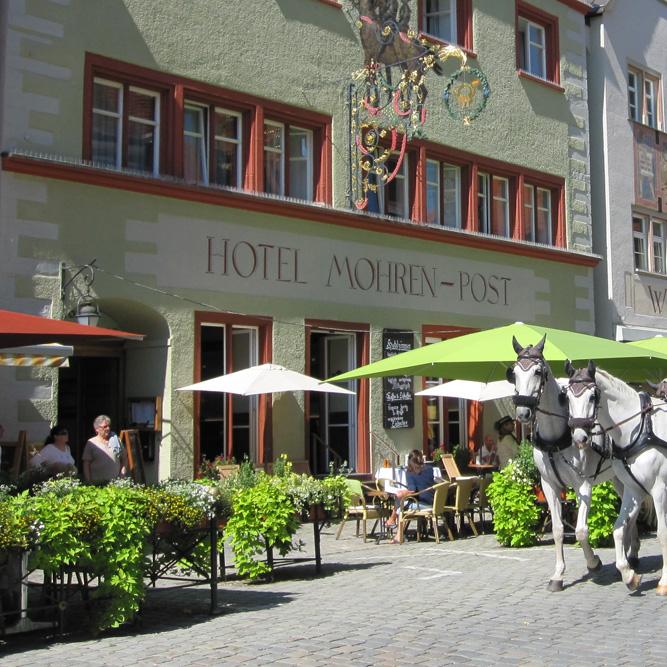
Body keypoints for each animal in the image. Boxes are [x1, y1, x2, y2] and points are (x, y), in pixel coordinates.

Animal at [508, 336, 624, 592]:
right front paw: (558, 575)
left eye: (538, 371)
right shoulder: (549, 485)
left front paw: (593, 563)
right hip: (618, 479)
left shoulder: (584, 486)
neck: (557, 437)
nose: (523, 412)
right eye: (514, 372)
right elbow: (558, 529)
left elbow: (580, 531)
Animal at [564, 362, 667, 596]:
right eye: (567, 397)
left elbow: (662, 534)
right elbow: (619, 529)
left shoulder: (659, 490)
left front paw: (664, 582)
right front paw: (629, 575)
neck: (638, 429)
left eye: (592, 396)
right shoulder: (633, 490)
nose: (580, 438)